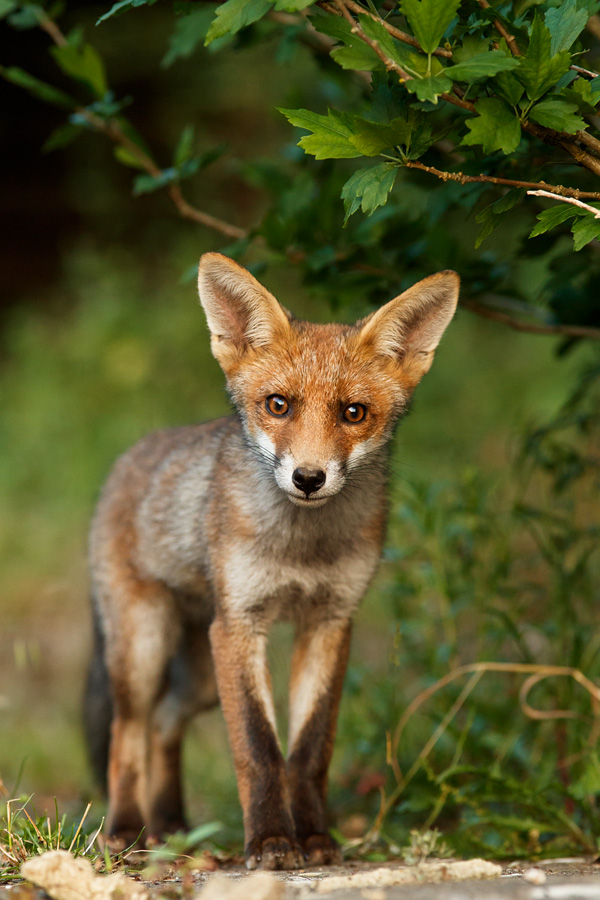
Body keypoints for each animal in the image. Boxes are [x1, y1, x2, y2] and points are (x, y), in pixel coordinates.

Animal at [84, 252, 460, 870]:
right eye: (277, 405)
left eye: (354, 412)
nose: (308, 477)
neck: (301, 548)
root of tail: (127, 459)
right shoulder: (241, 625)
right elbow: (258, 748)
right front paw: (269, 843)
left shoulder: (328, 623)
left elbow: (308, 751)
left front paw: (315, 840)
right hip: (146, 646)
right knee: (127, 729)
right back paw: (127, 830)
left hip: (200, 671)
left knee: (164, 723)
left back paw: (171, 826)